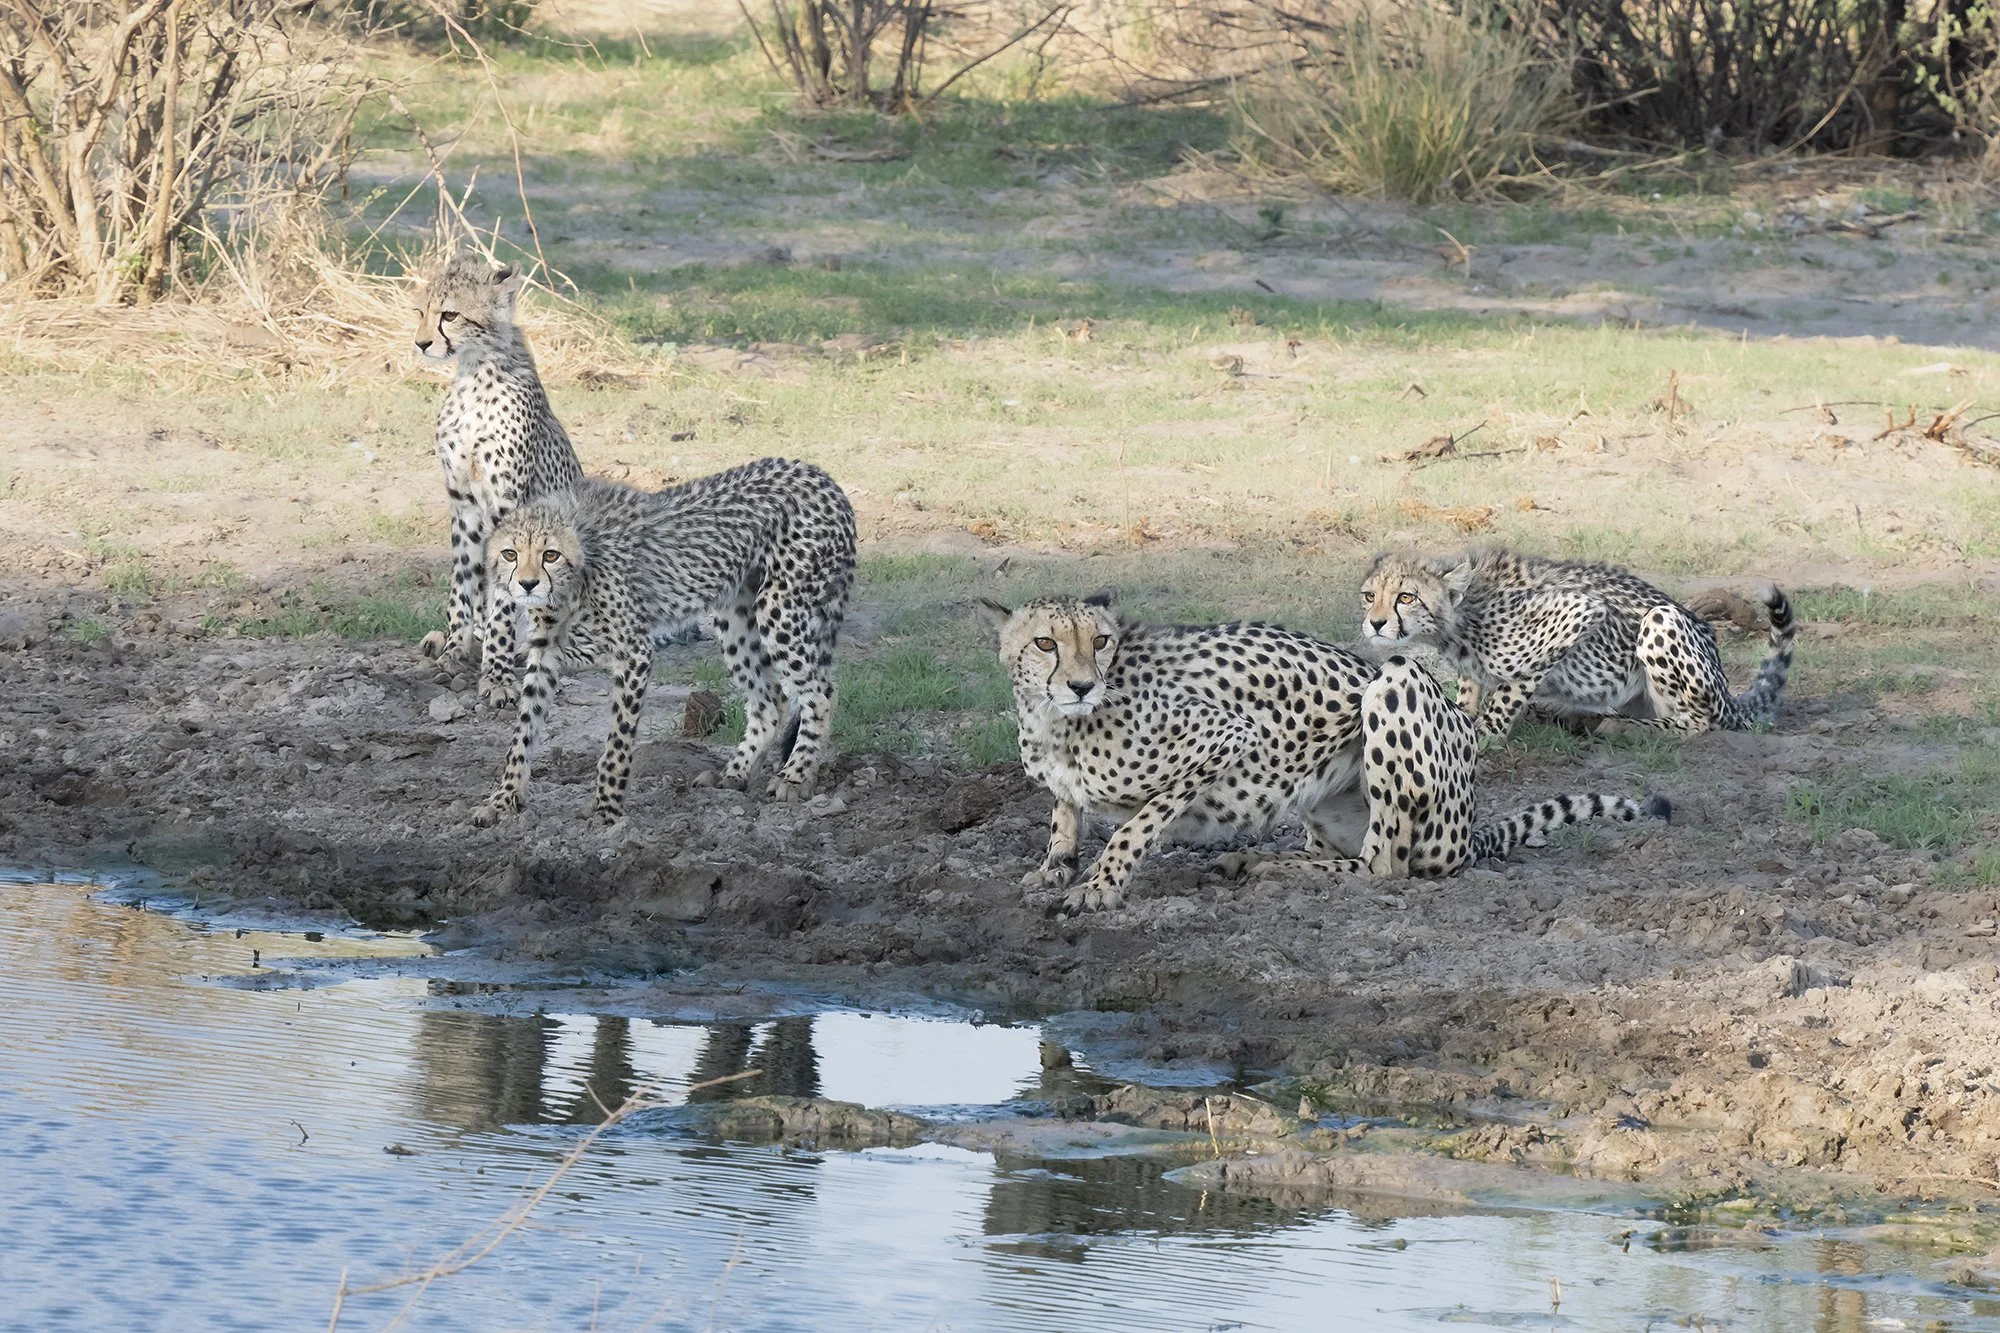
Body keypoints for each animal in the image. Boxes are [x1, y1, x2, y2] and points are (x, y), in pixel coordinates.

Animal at [413, 251, 585, 708]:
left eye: (450, 314)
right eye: (421, 312)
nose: (421, 343)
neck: (475, 371)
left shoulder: (507, 506)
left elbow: (502, 603)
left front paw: (497, 675)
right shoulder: (463, 503)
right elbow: (463, 584)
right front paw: (455, 650)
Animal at [471, 458, 856, 828]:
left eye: (550, 554)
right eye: (510, 554)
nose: (528, 584)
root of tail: (823, 478)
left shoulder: (634, 652)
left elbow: (618, 741)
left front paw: (607, 810)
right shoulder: (545, 651)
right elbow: (523, 731)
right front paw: (503, 801)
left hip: (778, 607)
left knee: (820, 693)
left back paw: (796, 775)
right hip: (734, 615)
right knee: (770, 699)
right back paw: (735, 774)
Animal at [982, 596, 1671, 913]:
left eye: (1099, 641)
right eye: (1045, 642)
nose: (1081, 684)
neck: (1057, 722)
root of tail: (1469, 830)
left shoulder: (1224, 738)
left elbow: (1136, 825)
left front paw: (1100, 887)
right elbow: (1065, 809)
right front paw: (1057, 866)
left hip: (1396, 679)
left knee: (1382, 866)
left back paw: (1272, 870)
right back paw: (1265, 860)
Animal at [1359, 547, 1795, 745]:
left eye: (1406, 597)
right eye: (1369, 596)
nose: (1376, 623)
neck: (1461, 616)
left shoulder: (1578, 612)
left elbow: (1511, 687)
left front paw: (1485, 734)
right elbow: (1472, 686)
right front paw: (1464, 713)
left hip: (1662, 619)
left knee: (1700, 722)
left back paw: (1618, 726)